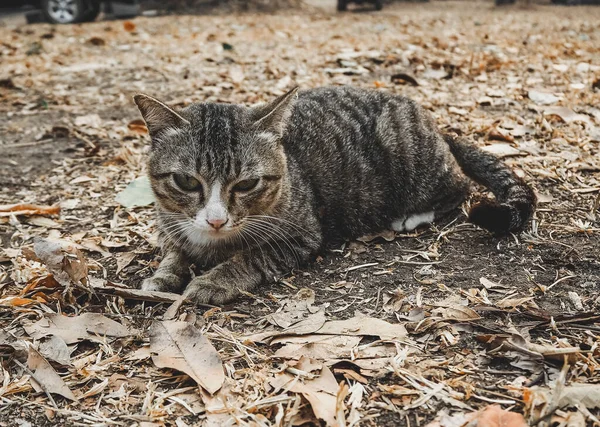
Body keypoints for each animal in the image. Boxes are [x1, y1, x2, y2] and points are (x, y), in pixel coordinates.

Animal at [132, 87, 536, 306]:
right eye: (186, 181)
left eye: (246, 185)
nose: (216, 219)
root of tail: (436, 126)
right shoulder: (169, 227)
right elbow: (173, 252)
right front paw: (163, 276)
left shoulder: (300, 236)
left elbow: (250, 258)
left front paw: (213, 280)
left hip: (415, 163)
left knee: (459, 188)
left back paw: (411, 216)